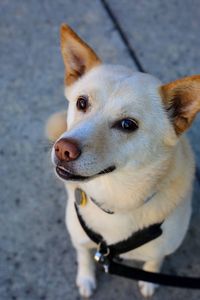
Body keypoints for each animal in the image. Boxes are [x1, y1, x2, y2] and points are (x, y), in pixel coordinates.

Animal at [48, 24, 200, 298]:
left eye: (127, 124)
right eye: (81, 102)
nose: (63, 149)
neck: (115, 199)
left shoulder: (162, 246)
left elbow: (154, 261)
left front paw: (149, 281)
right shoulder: (79, 238)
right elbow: (83, 256)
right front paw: (85, 278)